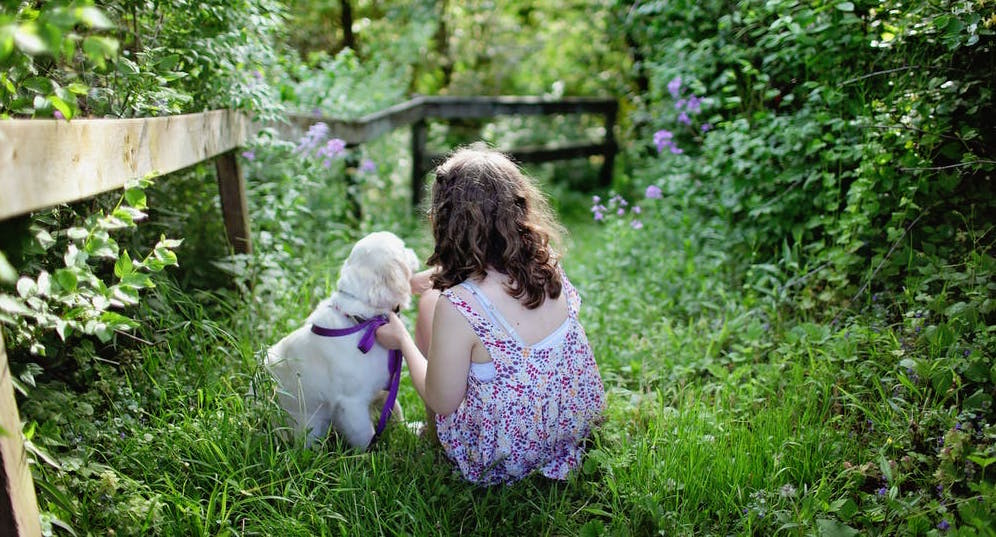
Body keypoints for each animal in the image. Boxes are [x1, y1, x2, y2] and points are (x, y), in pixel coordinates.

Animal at [264, 231, 416, 448]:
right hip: (310, 426)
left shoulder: (384, 387)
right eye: (403, 249)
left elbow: (395, 410)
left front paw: (409, 430)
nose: (412, 250)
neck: (363, 321)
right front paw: (374, 453)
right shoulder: (351, 404)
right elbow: (365, 435)